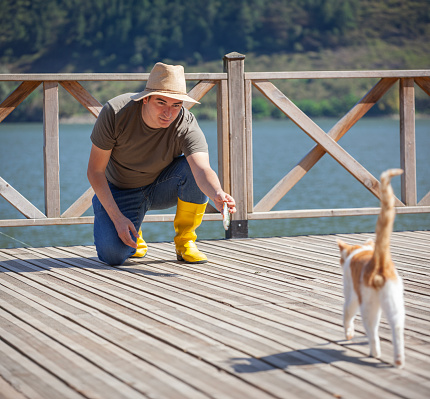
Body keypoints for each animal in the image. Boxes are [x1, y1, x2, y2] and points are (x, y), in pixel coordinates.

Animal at [338, 169, 404, 368]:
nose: (340, 261)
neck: (360, 250)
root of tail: (379, 261)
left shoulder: (351, 295)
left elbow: (347, 315)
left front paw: (349, 334)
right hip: (394, 301)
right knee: (397, 328)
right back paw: (398, 360)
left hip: (367, 304)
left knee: (372, 330)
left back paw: (374, 353)